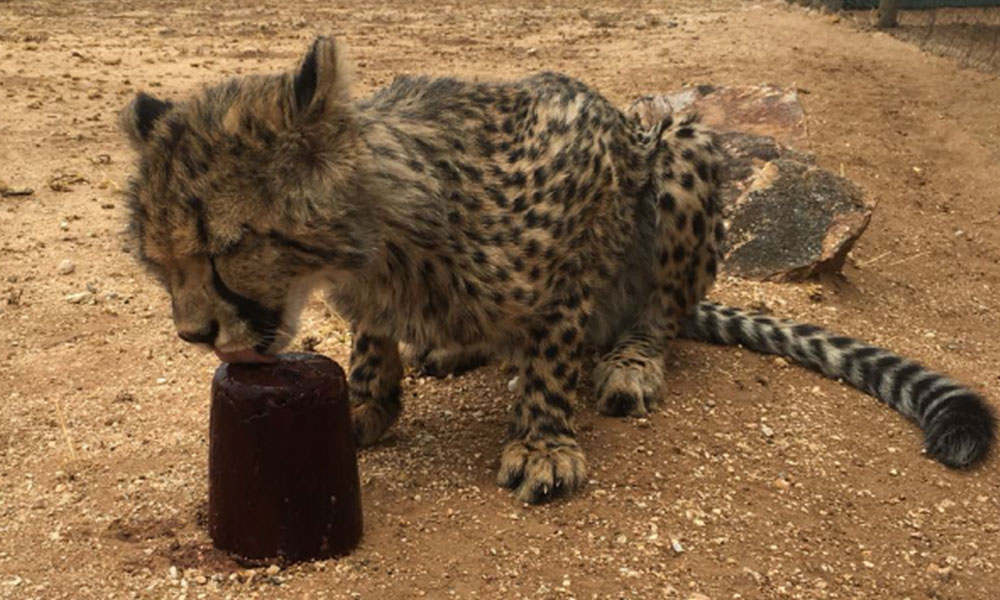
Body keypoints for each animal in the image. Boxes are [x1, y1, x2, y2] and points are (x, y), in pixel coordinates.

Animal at [120, 36, 994, 504]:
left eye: (225, 247)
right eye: (159, 262)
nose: (193, 333)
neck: (384, 235)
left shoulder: (584, 178)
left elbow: (551, 343)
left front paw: (542, 440)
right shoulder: (368, 288)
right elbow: (373, 334)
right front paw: (366, 401)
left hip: (678, 147)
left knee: (659, 314)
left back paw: (629, 361)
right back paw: (455, 346)